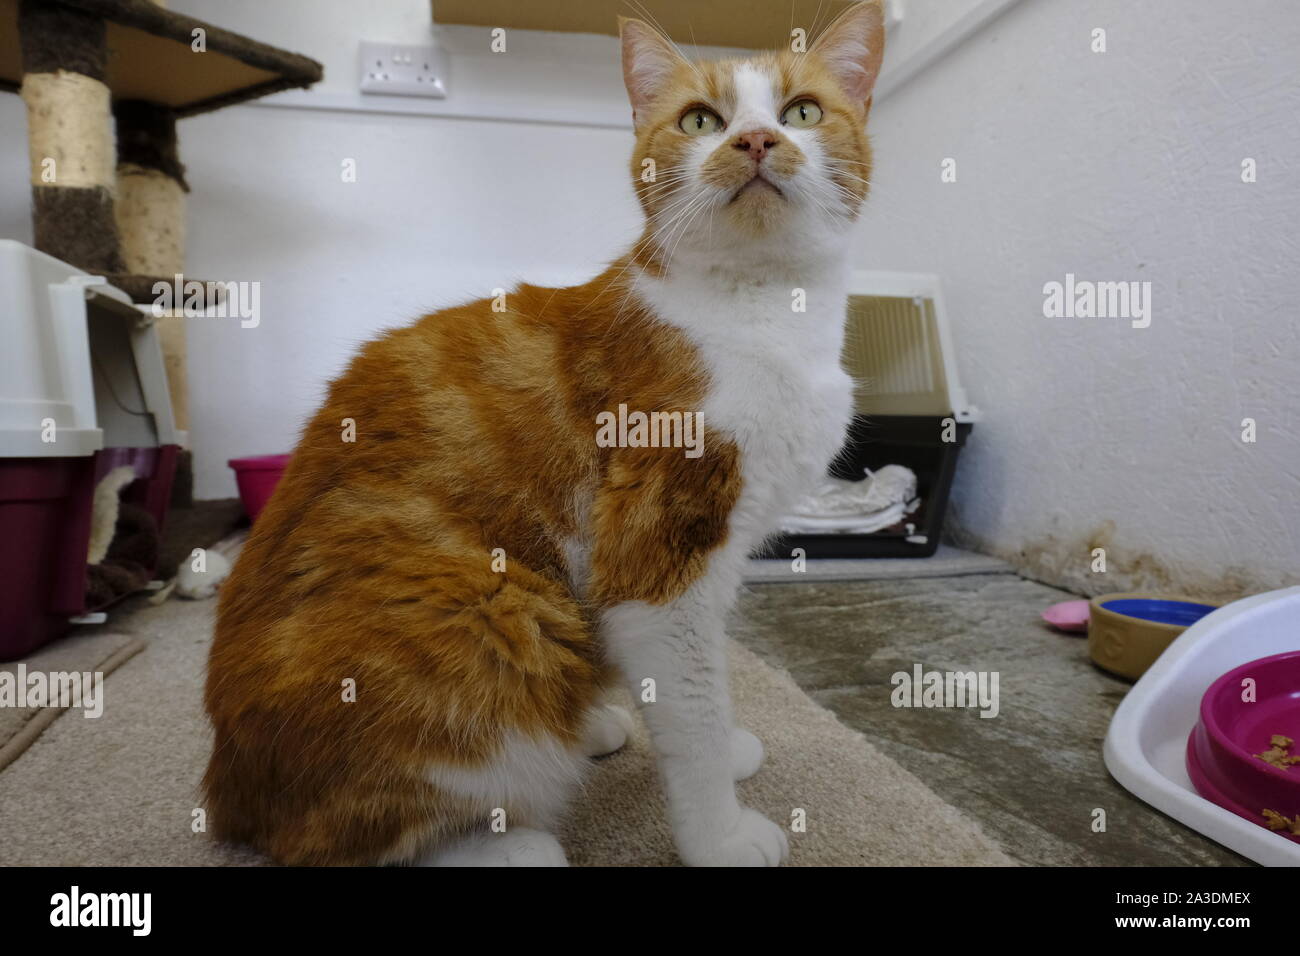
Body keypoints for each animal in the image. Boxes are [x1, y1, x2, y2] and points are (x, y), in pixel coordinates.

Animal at [202, 1, 889, 868]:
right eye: (701, 120)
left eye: (801, 111)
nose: (757, 141)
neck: (767, 313)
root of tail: (227, 794)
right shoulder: (657, 545)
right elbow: (692, 702)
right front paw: (721, 833)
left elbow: (698, 686)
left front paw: (725, 749)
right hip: (489, 610)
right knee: (348, 841)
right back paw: (511, 844)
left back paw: (589, 724)